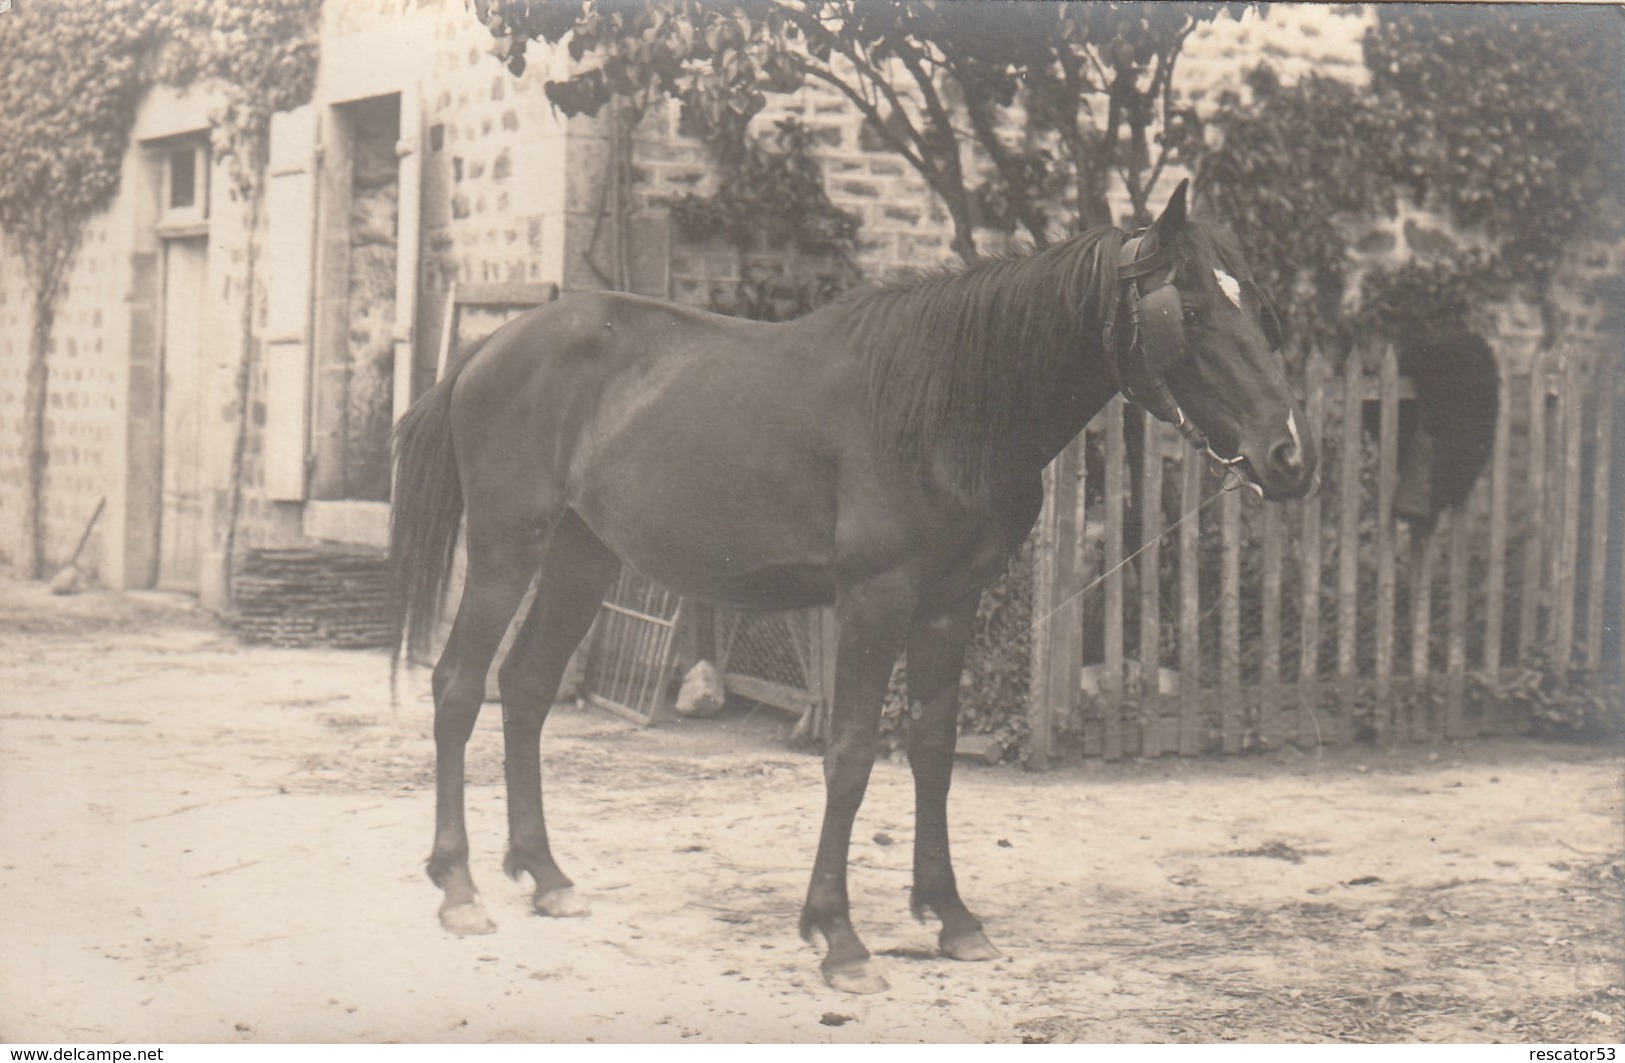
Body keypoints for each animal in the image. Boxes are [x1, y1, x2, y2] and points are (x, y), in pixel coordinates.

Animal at [390, 178, 1319, 994]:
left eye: (1260, 309)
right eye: (1189, 312)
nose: (1289, 456)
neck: (944, 404)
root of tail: (488, 349)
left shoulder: (949, 604)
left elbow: (933, 750)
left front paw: (950, 914)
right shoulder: (873, 600)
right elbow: (849, 753)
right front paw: (837, 934)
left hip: (582, 557)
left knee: (526, 687)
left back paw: (544, 873)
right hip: (506, 547)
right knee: (459, 687)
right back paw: (459, 886)